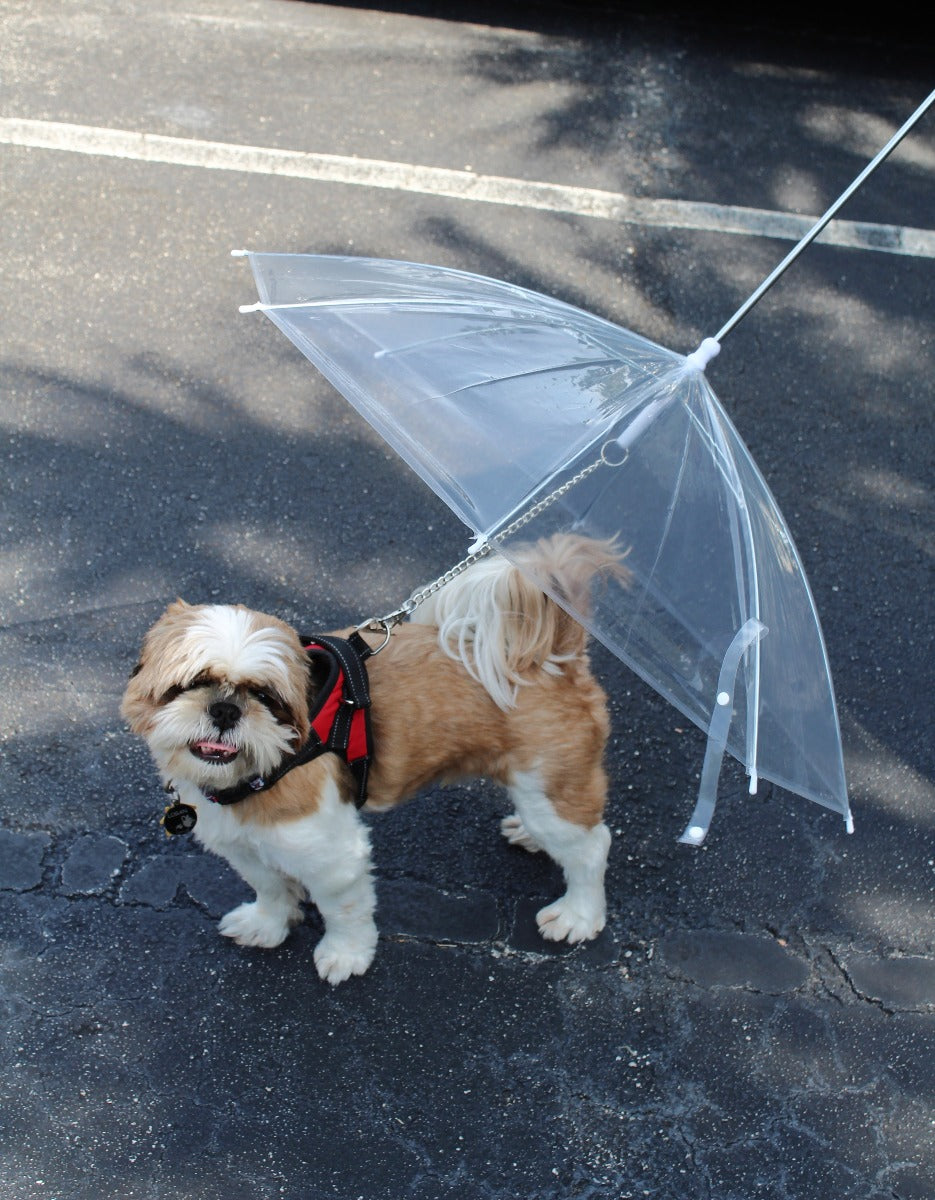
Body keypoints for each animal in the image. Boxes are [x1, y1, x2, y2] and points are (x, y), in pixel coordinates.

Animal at [120, 535, 624, 984]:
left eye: (266, 697)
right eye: (190, 684)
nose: (225, 710)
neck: (264, 768)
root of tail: (554, 655)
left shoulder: (331, 855)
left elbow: (343, 909)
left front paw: (346, 954)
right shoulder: (243, 844)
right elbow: (270, 885)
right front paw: (268, 924)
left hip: (550, 786)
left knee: (591, 846)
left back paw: (578, 914)